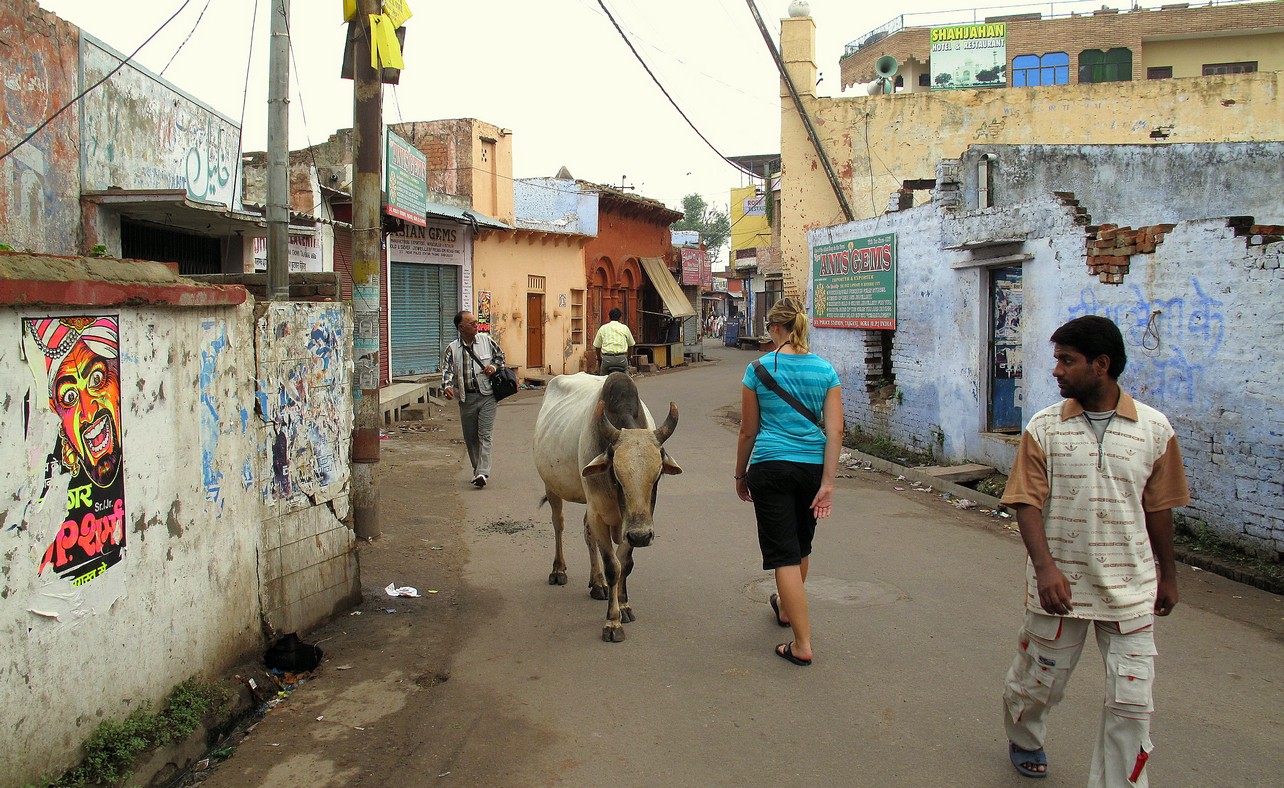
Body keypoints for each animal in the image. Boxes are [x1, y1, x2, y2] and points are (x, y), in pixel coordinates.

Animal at [529, 372, 683, 641]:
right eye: (616, 475)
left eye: (657, 475)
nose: (642, 537)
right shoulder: (600, 514)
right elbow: (613, 566)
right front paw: (613, 622)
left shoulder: (631, 523)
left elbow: (625, 565)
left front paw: (624, 605)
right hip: (553, 488)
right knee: (558, 525)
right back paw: (559, 570)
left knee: (587, 534)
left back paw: (597, 583)